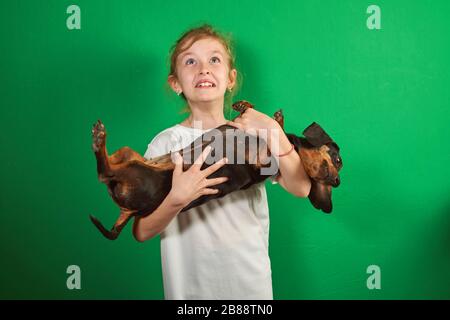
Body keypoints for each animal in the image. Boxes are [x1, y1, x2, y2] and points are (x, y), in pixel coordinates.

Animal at [90, 100, 344, 240]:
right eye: (338, 159)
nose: (337, 182)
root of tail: (129, 210)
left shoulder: (262, 160)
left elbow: (275, 130)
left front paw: (275, 121)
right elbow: (253, 113)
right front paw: (247, 107)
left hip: (136, 173)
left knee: (104, 172)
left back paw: (99, 138)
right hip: (129, 154)